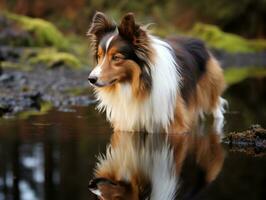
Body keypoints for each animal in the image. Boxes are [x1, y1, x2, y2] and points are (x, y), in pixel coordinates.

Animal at [87, 11, 227, 133]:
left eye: (116, 57)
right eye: (99, 56)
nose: (91, 79)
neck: (137, 84)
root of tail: (198, 41)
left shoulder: (174, 122)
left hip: (209, 91)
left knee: (217, 107)